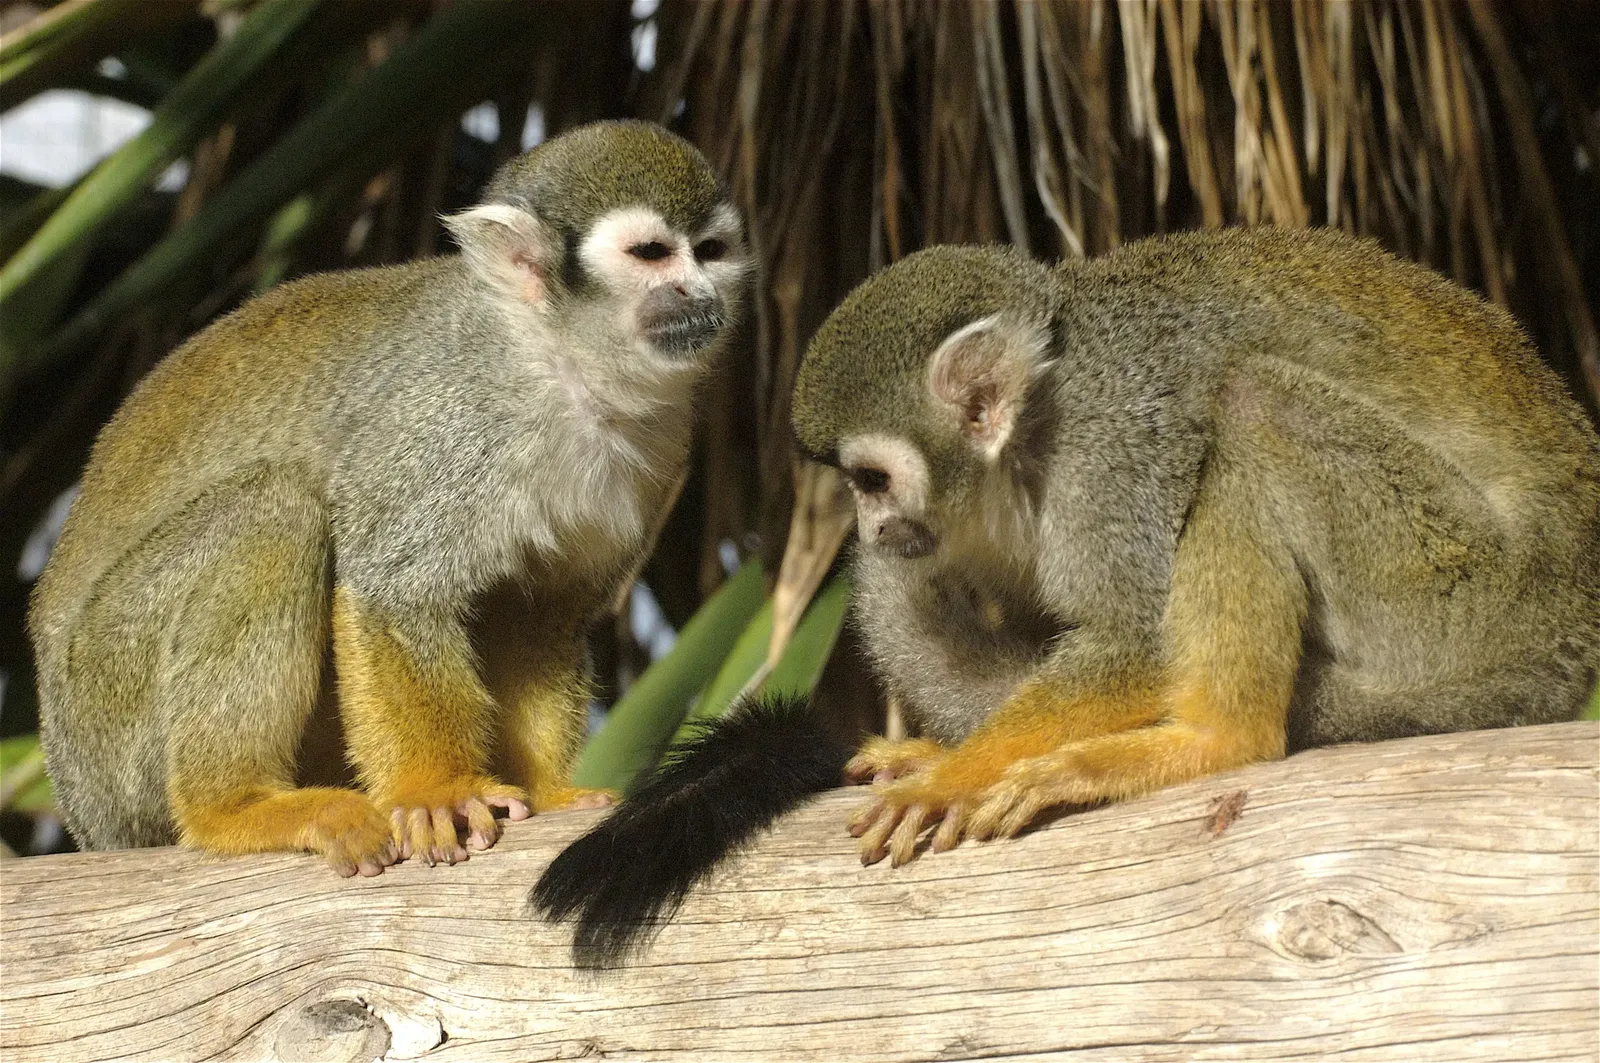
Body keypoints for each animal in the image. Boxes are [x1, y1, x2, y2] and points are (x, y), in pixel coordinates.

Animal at [29, 120, 750, 877]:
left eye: (710, 251)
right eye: (652, 254)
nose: (699, 292)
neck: (560, 366)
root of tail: (81, 808)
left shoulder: (657, 448)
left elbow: (538, 612)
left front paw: (551, 793)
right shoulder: (449, 415)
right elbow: (392, 587)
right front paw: (438, 790)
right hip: (111, 705)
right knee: (273, 510)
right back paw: (232, 806)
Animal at [534, 226, 1599, 967]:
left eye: (871, 480)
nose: (871, 532)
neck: (1036, 431)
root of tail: (1564, 644)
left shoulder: (1114, 446)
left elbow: (1139, 636)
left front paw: (956, 774)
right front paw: (949, 749)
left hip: (1453, 590)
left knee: (1251, 404)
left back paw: (1215, 741)